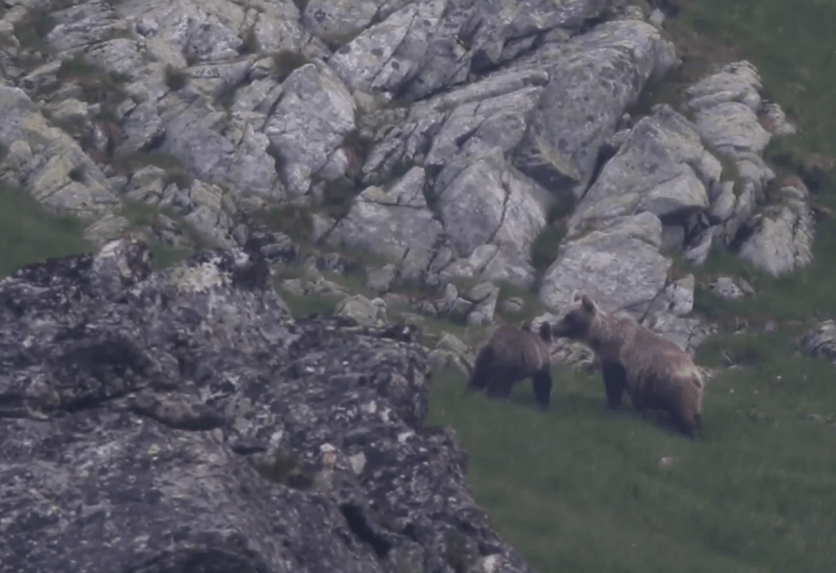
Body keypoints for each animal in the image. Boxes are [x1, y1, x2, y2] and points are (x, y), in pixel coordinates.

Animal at [556, 292, 704, 436]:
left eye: (568, 316)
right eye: (564, 312)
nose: (554, 328)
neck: (600, 337)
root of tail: (696, 374)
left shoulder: (616, 357)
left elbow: (613, 383)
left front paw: (612, 406)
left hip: (676, 386)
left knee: (686, 413)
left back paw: (688, 431)